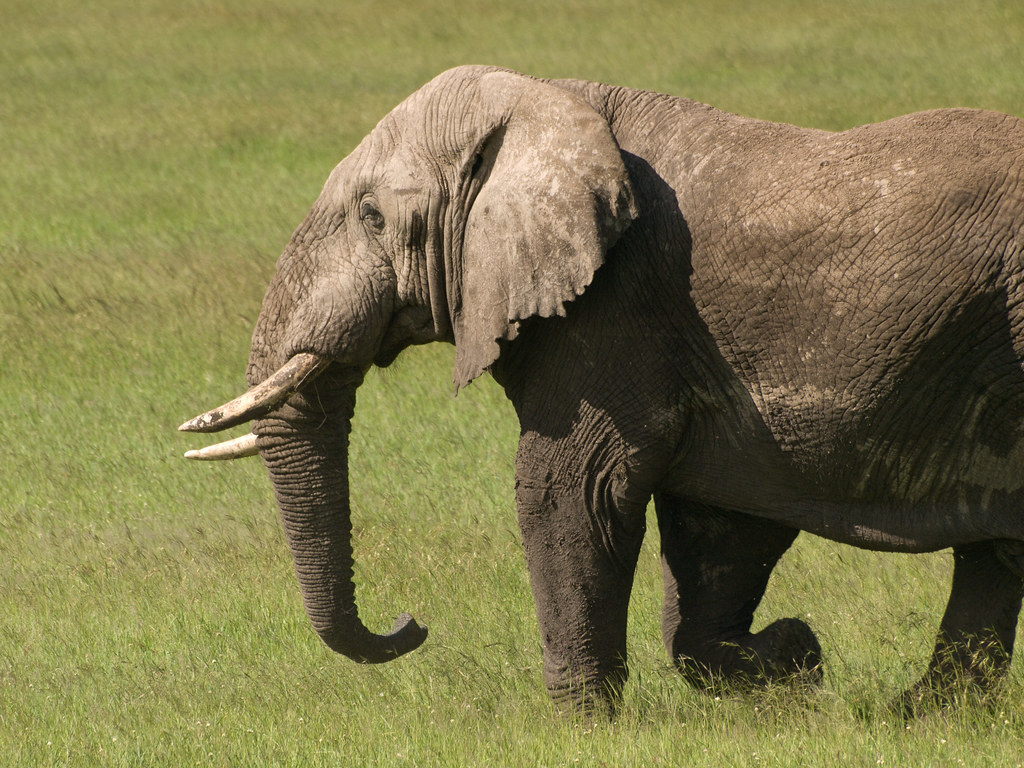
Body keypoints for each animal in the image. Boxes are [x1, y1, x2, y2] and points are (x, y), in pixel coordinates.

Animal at [181, 65, 1024, 715]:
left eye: (372, 216)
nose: (412, 622)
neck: (545, 107)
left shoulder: (614, 312)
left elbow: (569, 488)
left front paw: (584, 725)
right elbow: (718, 529)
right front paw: (795, 664)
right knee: (992, 554)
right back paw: (926, 716)